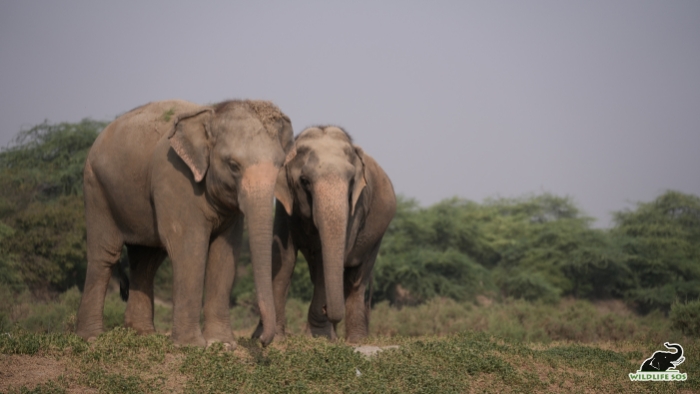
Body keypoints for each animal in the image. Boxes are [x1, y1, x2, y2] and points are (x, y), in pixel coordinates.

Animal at [75, 99, 294, 348]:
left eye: (280, 166)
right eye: (233, 165)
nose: (262, 341)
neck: (212, 113)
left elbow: (225, 253)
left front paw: (222, 344)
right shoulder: (176, 178)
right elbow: (189, 248)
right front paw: (192, 345)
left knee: (146, 261)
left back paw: (143, 334)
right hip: (96, 188)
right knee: (105, 255)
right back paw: (91, 337)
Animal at [256, 125, 400, 342]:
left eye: (352, 181)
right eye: (304, 181)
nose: (326, 309)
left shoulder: (356, 208)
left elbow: (327, 260)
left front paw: (319, 339)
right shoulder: (285, 206)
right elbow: (284, 256)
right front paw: (274, 339)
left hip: (377, 236)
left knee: (357, 278)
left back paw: (355, 340)